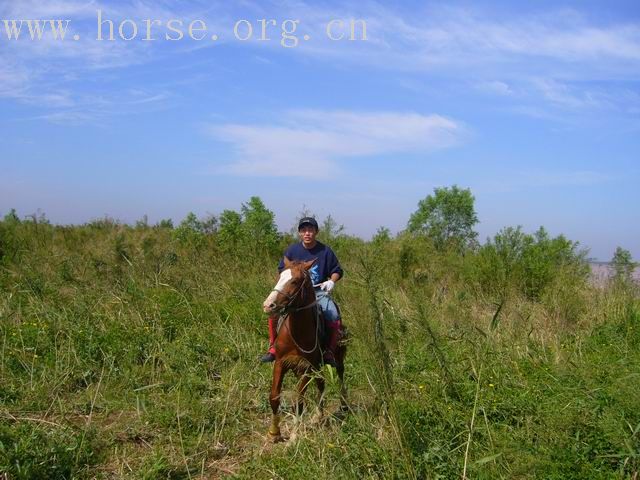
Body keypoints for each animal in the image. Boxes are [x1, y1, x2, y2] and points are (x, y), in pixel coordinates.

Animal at [262, 258, 348, 442]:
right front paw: (274, 432)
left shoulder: (306, 368)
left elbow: (298, 401)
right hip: (316, 366)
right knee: (321, 384)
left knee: (340, 374)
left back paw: (344, 404)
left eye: (294, 281)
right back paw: (318, 416)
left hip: (336, 357)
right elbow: (274, 397)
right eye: (280, 276)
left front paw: (294, 437)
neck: (296, 332)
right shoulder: (281, 363)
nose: (268, 305)